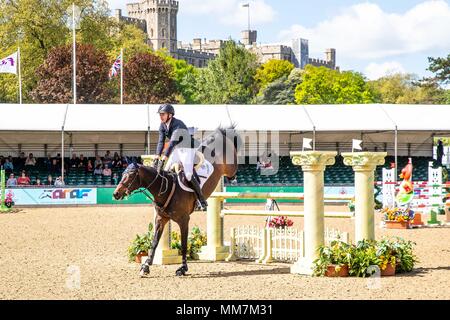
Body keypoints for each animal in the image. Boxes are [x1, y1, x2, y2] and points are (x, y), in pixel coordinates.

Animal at [114, 126, 241, 276]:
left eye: (130, 175)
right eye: (123, 174)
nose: (116, 194)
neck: (167, 188)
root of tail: (220, 134)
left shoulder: (184, 220)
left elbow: (184, 244)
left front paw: (183, 268)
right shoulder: (161, 219)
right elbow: (154, 243)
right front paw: (146, 266)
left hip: (230, 166)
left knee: (234, 167)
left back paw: (233, 177)